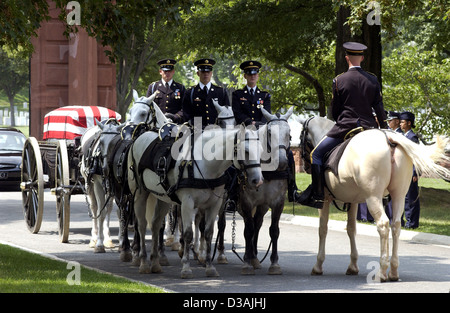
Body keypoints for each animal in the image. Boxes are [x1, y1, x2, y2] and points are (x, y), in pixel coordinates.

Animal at [127, 123, 264, 276]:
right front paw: (186, 268)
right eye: (246, 151)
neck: (205, 164)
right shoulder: (187, 204)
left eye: (261, 150)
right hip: (140, 194)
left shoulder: (214, 205)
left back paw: (155, 263)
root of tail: (140, 137)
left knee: (156, 224)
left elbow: (209, 233)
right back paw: (144, 263)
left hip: (163, 198)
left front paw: (210, 267)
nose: (258, 181)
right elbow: (188, 234)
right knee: (142, 225)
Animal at [298, 116, 450, 282]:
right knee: (396, 225)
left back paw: (382, 271)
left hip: (373, 197)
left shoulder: (325, 199)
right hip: (398, 195)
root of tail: (389, 138)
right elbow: (351, 229)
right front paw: (353, 266)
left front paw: (318, 266)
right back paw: (393, 271)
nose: (306, 167)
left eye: (300, 137)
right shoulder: (353, 202)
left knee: (383, 224)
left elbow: (323, 229)